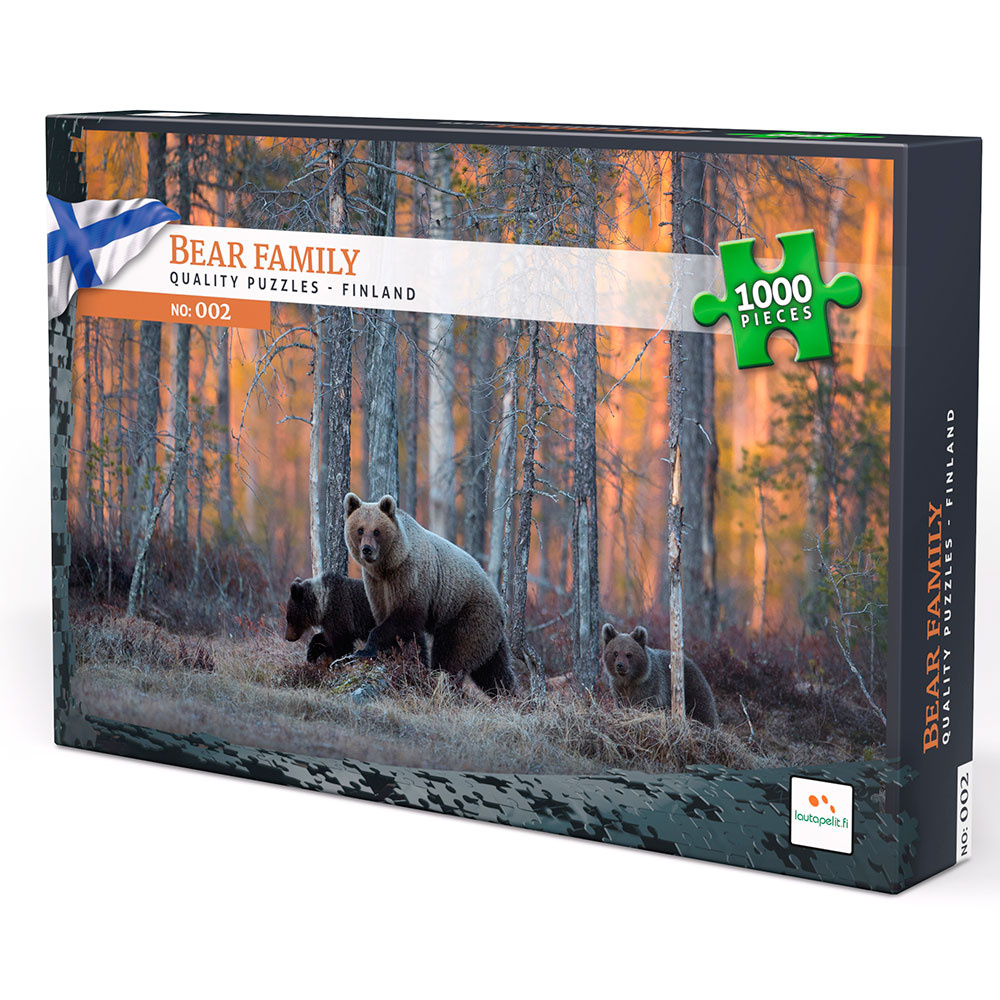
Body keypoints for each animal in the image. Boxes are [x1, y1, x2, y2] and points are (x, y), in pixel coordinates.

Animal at [343, 492, 518, 696]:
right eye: (360, 530)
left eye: (377, 531)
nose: (367, 550)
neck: (389, 566)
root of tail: (500, 604)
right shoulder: (377, 586)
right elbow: (405, 633)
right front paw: (408, 661)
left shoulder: (411, 577)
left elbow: (404, 619)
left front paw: (365, 650)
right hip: (488, 634)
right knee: (494, 669)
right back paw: (510, 694)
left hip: (468, 614)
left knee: (453, 655)